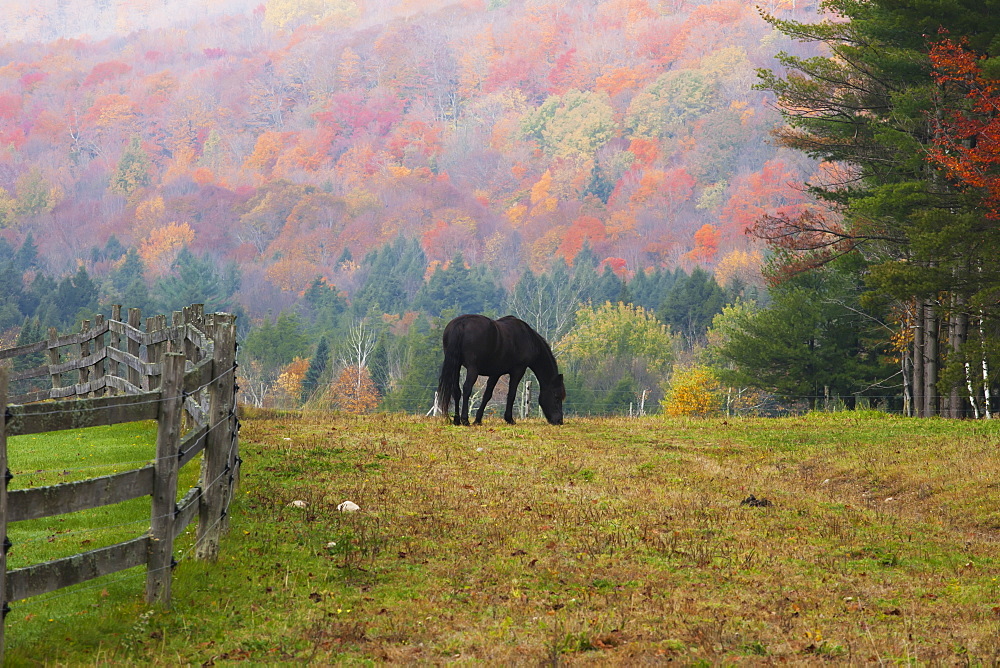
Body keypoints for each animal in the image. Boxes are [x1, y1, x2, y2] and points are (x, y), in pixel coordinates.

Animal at [436, 314, 568, 428]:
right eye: (556, 396)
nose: (559, 420)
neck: (528, 338)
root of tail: (461, 323)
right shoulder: (518, 370)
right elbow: (511, 394)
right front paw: (509, 419)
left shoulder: (495, 373)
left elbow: (487, 395)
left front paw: (478, 420)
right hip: (472, 368)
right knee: (467, 388)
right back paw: (465, 420)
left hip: (456, 366)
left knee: (456, 391)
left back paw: (457, 420)